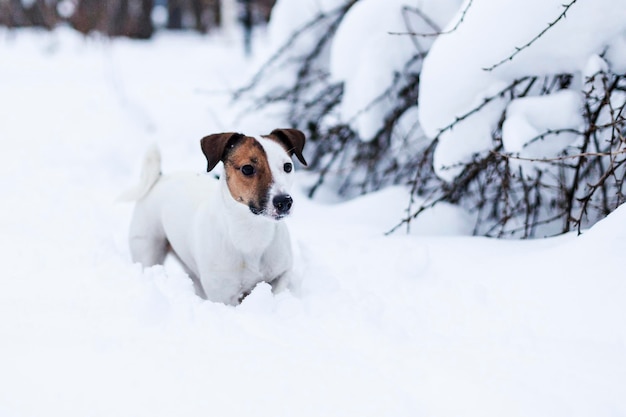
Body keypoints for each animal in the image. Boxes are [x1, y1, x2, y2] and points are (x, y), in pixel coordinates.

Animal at [121, 128, 304, 304]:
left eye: (288, 166)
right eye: (247, 169)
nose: (284, 201)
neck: (251, 232)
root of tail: (160, 178)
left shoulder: (281, 273)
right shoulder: (223, 295)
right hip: (147, 249)